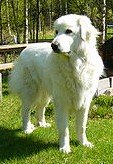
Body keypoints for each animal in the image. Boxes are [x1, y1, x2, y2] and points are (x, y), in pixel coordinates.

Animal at [9, 13, 103, 153]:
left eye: (68, 31)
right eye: (56, 32)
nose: (53, 45)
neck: (75, 66)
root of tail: (26, 48)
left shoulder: (85, 102)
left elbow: (81, 126)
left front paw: (84, 143)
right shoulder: (62, 102)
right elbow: (64, 129)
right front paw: (64, 148)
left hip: (46, 94)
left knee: (40, 108)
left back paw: (42, 124)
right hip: (30, 92)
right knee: (25, 111)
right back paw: (26, 129)